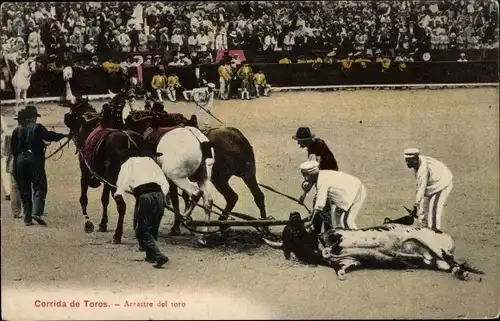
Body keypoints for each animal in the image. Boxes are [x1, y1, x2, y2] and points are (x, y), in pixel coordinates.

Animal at [64, 97, 145, 242]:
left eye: (71, 111)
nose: (65, 118)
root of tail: (130, 142)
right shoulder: (106, 180)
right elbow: (104, 200)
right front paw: (103, 223)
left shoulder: (85, 173)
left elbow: (83, 199)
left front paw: (88, 223)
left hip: (115, 183)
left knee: (121, 206)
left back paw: (117, 235)